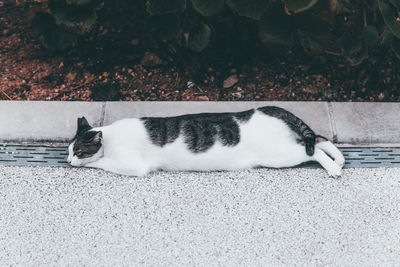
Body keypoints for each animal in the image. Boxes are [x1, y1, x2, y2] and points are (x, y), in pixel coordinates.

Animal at [67, 107, 346, 178]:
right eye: (68, 150)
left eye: (78, 151)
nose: (68, 161)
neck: (110, 136)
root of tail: (271, 108)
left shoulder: (133, 165)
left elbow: (103, 163)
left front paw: (88, 163)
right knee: (319, 140)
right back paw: (340, 159)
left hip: (279, 156)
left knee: (312, 151)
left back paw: (333, 168)